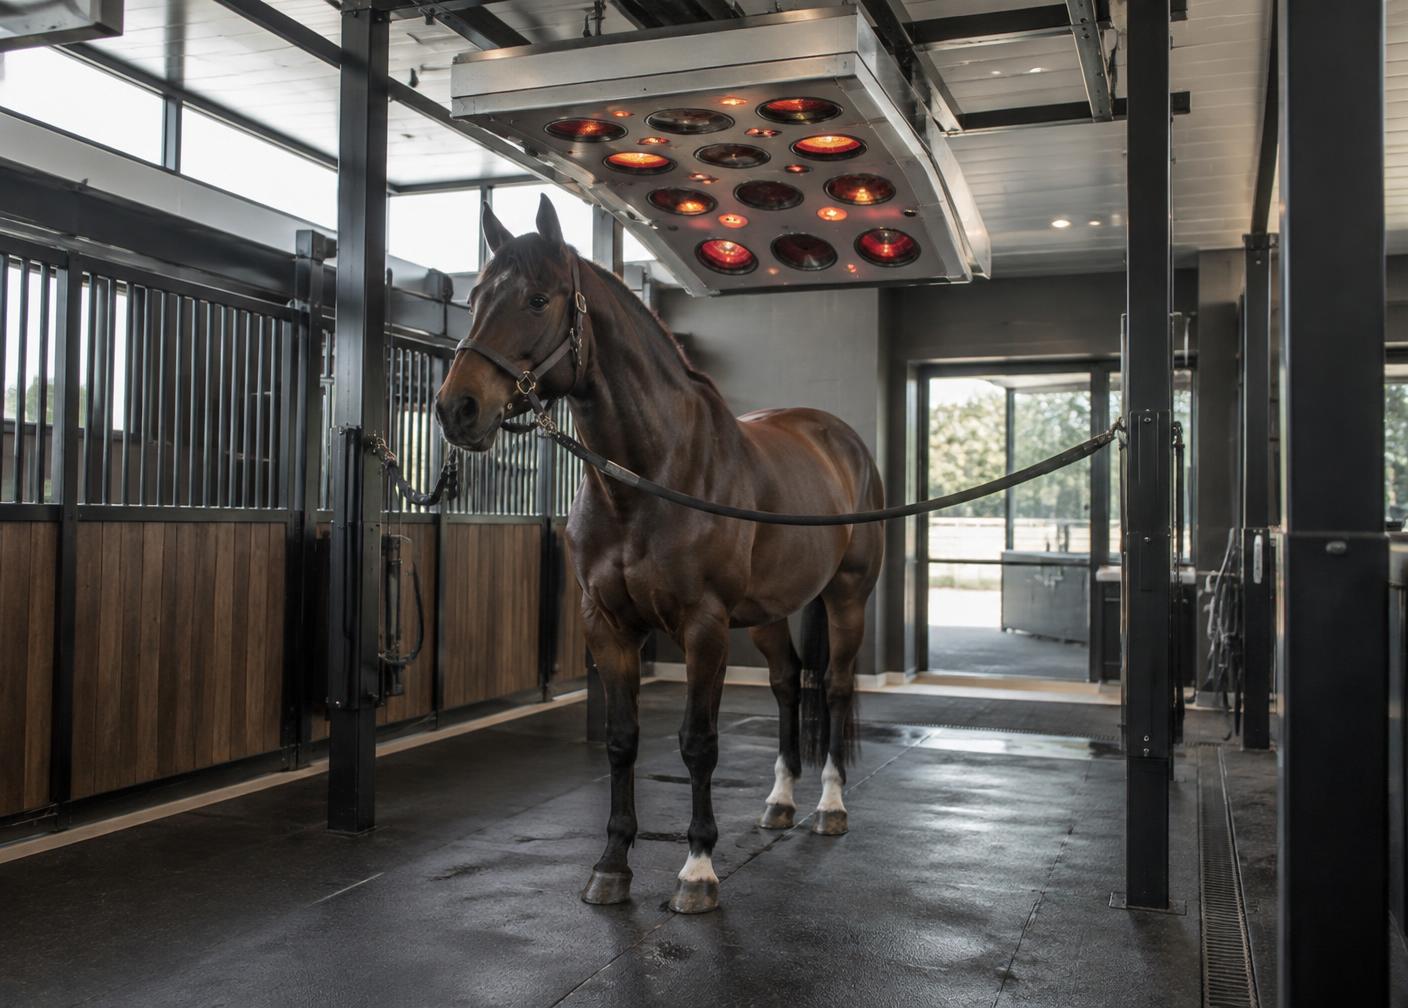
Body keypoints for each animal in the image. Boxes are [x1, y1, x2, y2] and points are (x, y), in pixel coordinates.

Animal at [435, 195, 884, 915]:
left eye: (537, 298)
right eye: (474, 298)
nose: (457, 408)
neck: (649, 478)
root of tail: (838, 437)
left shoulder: (703, 629)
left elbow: (697, 744)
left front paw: (697, 870)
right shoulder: (607, 625)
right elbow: (622, 742)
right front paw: (611, 867)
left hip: (846, 597)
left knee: (836, 688)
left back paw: (830, 807)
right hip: (765, 613)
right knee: (788, 684)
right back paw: (781, 801)